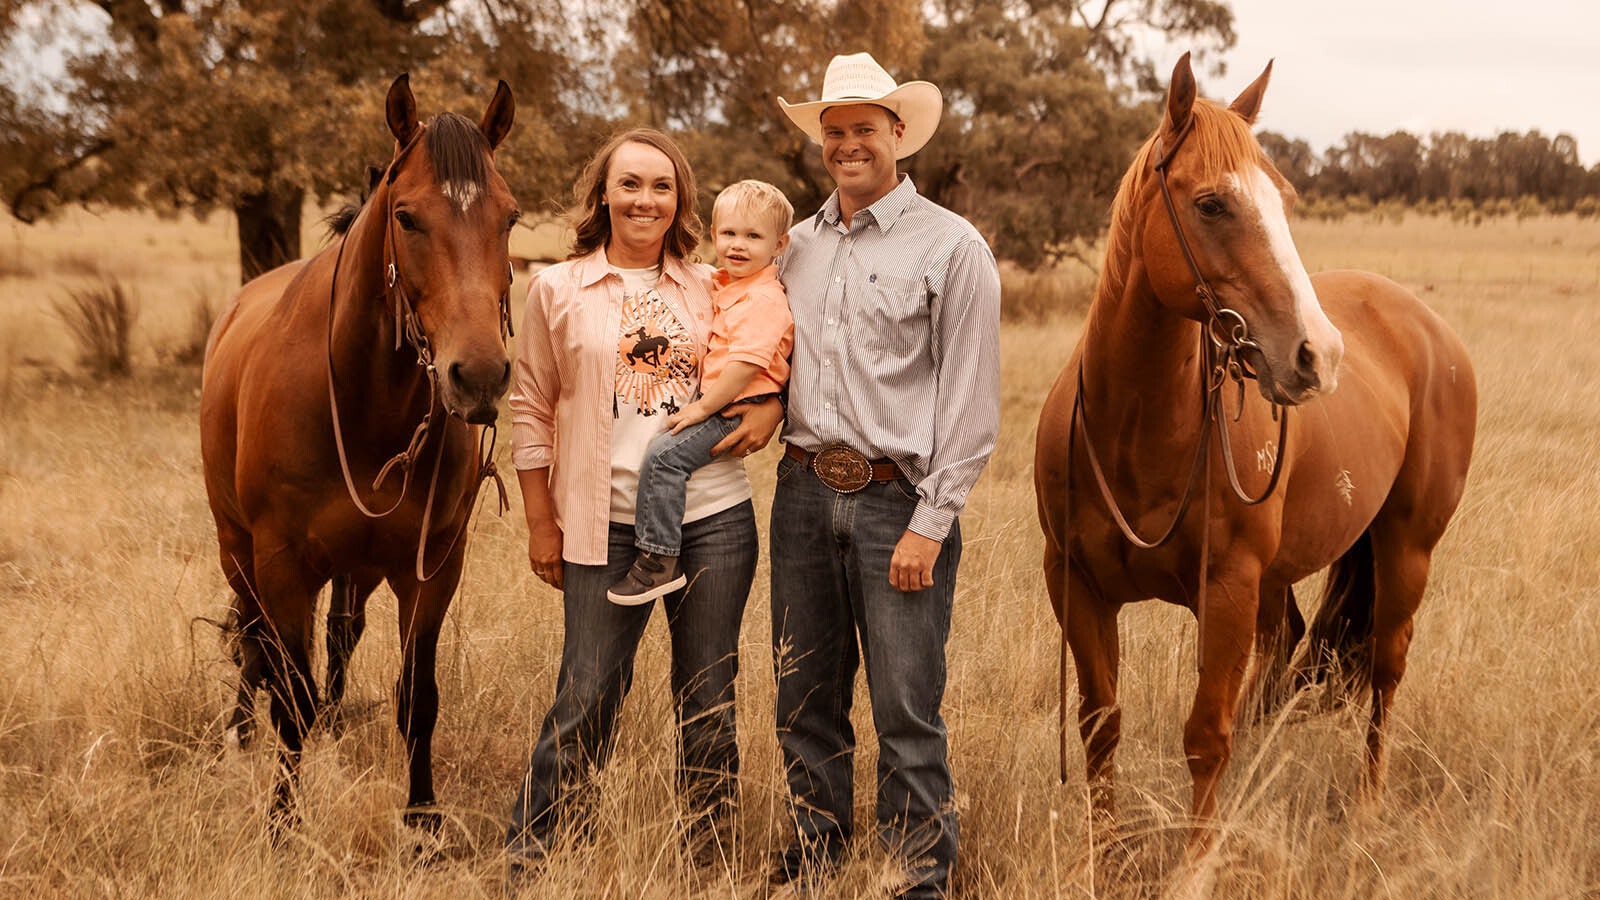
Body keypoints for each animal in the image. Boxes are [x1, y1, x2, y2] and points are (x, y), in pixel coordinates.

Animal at [196, 73, 515, 826]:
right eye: (407, 217)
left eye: (510, 218)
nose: (479, 376)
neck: (365, 401)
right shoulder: (281, 565)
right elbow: (290, 699)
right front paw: (284, 825)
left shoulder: (432, 568)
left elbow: (417, 699)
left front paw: (422, 821)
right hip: (237, 550)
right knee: (253, 644)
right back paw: (239, 737)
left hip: (358, 566)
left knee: (339, 636)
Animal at [1036, 54, 1472, 839]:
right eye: (1212, 204)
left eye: (1285, 201)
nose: (1317, 354)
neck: (1136, 432)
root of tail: (1429, 329)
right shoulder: (1076, 586)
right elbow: (1101, 725)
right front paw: (1104, 852)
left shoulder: (1230, 588)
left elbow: (1207, 736)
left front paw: (1198, 853)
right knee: (1284, 656)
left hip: (1406, 550)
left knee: (1385, 672)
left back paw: (1366, 806)